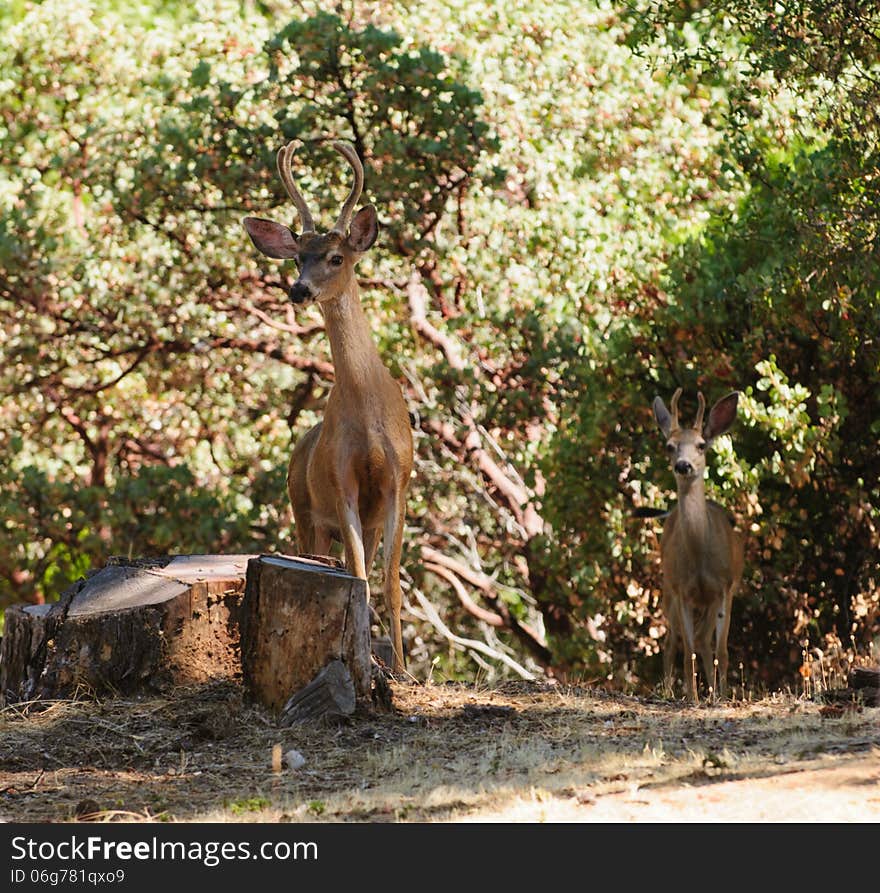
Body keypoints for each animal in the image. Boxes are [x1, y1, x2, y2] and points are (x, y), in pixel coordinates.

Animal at [242, 138, 414, 668]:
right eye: (297, 257)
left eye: (336, 257)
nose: (299, 289)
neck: (370, 409)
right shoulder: (341, 484)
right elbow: (358, 577)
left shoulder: (398, 481)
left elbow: (390, 582)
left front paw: (402, 669)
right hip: (303, 509)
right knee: (327, 560)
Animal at [648, 386, 744, 700]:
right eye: (670, 446)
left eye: (702, 445)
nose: (683, 465)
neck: (701, 558)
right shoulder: (682, 590)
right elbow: (687, 649)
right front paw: (692, 696)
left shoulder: (724, 587)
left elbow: (721, 649)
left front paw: (722, 695)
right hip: (668, 589)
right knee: (672, 642)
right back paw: (671, 691)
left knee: (702, 640)